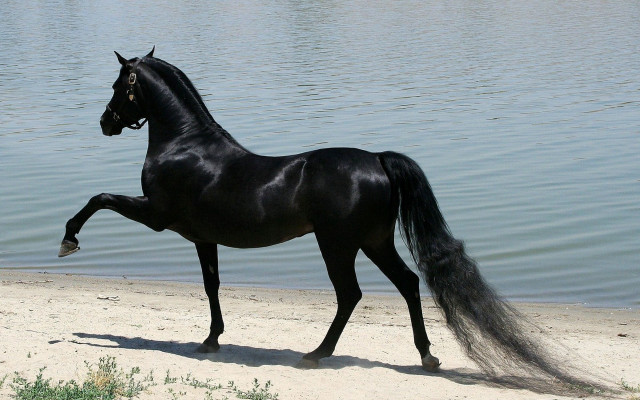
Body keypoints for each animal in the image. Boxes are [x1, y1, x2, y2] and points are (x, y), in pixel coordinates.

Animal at [58, 49, 588, 383]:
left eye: (118, 85)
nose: (105, 123)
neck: (186, 145)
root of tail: (377, 159)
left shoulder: (157, 215)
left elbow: (99, 198)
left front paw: (69, 239)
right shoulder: (202, 237)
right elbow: (212, 286)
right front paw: (211, 339)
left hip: (338, 245)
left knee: (351, 295)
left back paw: (317, 355)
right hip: (374, 242)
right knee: (408, 284)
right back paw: (427, 357)